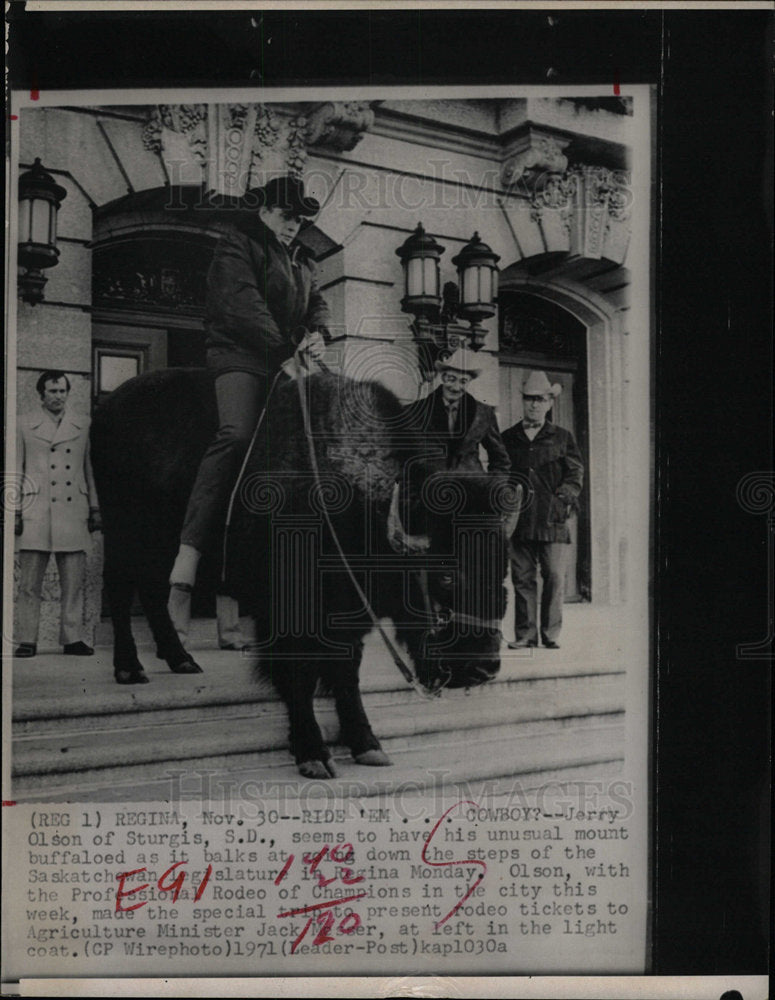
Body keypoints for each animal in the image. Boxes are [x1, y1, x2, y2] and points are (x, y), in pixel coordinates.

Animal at [94, 370, 524, 780]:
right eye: (447, 575)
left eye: (501, 568)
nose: (483, 668)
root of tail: (110, 406)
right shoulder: (288, 616)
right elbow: (298, 675)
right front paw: (313, 755)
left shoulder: (348, 613)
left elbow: (347, 674)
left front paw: (368, 746)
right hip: (122, 537)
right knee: (119, 589)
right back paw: (130, 669)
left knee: (151, 592)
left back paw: (181, 660)